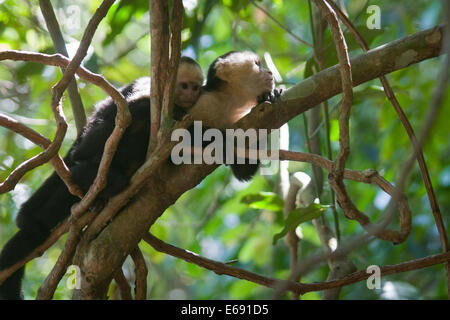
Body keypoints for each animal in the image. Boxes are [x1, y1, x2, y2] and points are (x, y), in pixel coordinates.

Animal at [0, 55, 204, 300]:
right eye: (184, 86)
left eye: (195, 87)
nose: (191, 94)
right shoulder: (148, 95)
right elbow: (107, 128)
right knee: (86, 154)